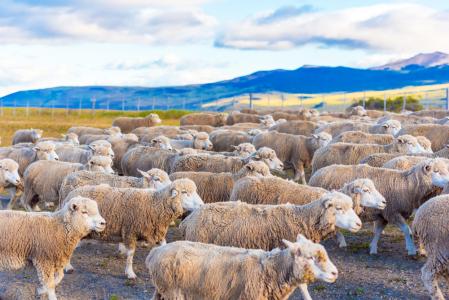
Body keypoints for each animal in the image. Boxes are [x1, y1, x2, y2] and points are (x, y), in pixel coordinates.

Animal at [63, 178, 203, 278]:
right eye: (184, 192)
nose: (202, 205)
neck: (155, 204)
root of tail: (72, 194)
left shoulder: (156, 232)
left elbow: (164, 247)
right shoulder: (130, 231)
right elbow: (131, 255)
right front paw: (130, 273)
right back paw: (68, 267)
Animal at [145, 234, 338, 300]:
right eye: (311, 257)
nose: (335, 273)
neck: (271, 271)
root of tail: (154, 252)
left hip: (162, 291)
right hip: (173, 292)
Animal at [310, 158, 448, 254]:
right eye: (436, 171)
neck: (407, 186)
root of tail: (317, 172)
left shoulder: (383, 215)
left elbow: (378, 232)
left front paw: (373, 248)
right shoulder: (392, 212)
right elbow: (407, 231)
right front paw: (411, 250)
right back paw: (341, 241)